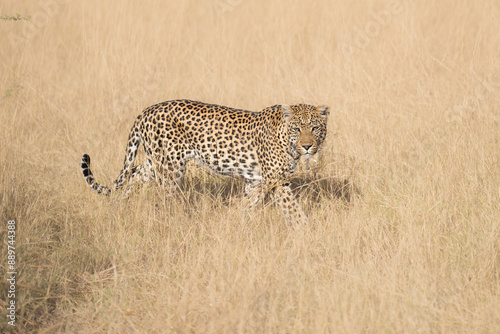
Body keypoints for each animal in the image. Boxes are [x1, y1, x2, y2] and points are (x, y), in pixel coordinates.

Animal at [80, 99, 330, 224]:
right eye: (297, 129)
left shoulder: (257, 181)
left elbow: (246, 205)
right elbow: (293, 209)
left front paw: (231, 223)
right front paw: (306, 232)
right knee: (165, 198)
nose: (308, 146)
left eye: (315, 128)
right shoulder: (276, 181)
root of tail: (147, 110)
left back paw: (118, 207)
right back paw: (174, 223)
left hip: (156, 163)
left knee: (133, 173)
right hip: (170, 168)